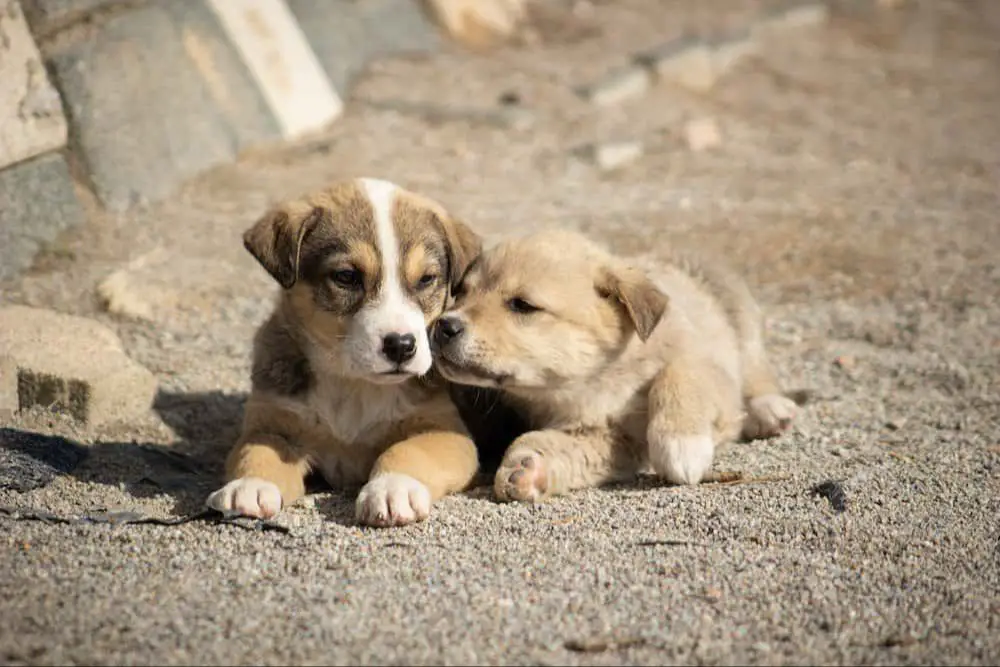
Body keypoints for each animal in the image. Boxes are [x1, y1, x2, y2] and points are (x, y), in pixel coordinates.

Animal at [205, 177, 482, 528]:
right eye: (347, 277)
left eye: (426, 280)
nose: (401, 345)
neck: (353, 382)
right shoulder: (271, 423)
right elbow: (256, 451)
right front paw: (250, 485)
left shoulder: (445, 430)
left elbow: (409, 451)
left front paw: (393, 487)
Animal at [430, 230, 796, 500]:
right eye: (462, 293)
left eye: (522, 305)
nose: (443, 327)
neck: (602, 380)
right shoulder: (615, 438)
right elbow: (549, 442)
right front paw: (528, 467)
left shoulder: (709, 365)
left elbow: (679, 376)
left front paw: (682, 445)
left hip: (741, 321)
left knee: (757, 371)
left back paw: (771, 411)